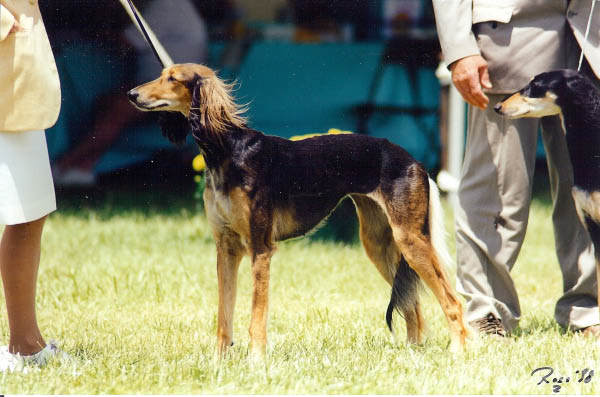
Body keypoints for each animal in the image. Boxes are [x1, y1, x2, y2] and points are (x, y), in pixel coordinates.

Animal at [127, 62, 468, 356]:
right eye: (162, 75)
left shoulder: (260, 248)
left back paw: (459, 351)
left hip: (410, 239)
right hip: (380, 243)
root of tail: (413, 160)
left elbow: (257, 312)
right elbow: (224, 315)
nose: (132, 94)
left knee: (452, 301)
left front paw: (256, 359)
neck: (228, 150)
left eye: (172, 78)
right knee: (413, 305)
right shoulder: (226, 248)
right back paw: (413, 352)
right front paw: (219, 361)